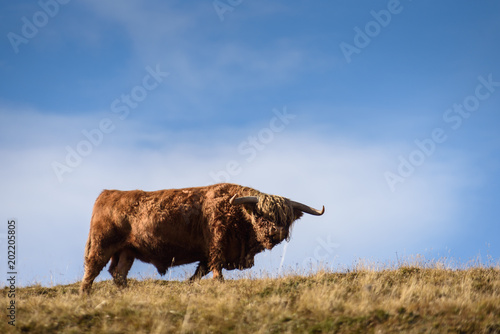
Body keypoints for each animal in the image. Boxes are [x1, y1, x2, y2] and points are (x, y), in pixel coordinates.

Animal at [81, 181, 324, 294]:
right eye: (260, 214)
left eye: (287, 218)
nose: (277, 232)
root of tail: (108, 194)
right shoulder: (217, 244)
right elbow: (215, 266)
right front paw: (219, 282)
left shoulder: (210, 253)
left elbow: (201, 270)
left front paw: (190, 283)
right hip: (102, 244)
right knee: (92, 268)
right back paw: (85, 294)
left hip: (126, 251)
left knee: (118, 272)